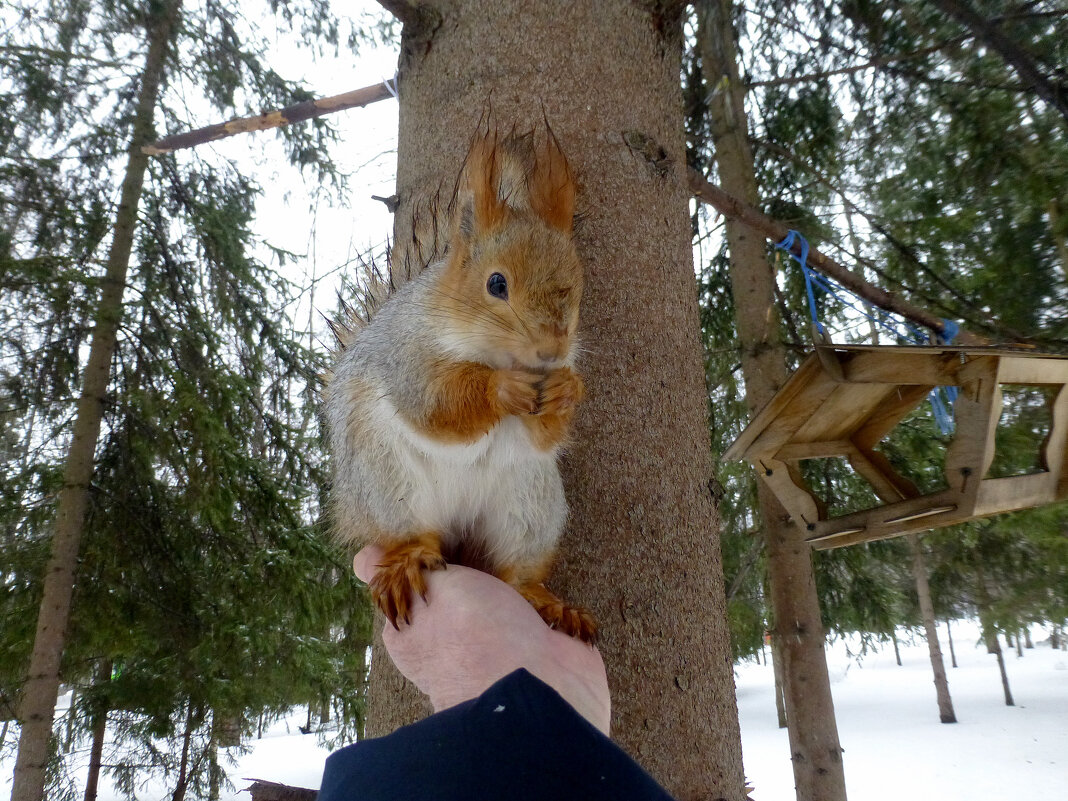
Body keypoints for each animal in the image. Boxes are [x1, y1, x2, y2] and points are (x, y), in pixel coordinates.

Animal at [320, 125, 598, 645]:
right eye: (496, 284)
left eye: (576, 287)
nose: (552, 350)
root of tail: (459, 523)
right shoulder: (405, 358)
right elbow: (436, 407)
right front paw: (501, 389)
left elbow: (547, 435)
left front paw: (567, 390)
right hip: (388, 483)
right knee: (410, 533)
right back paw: (408, 561)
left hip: (529, 504)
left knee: (516, 570)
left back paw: (546, 601)